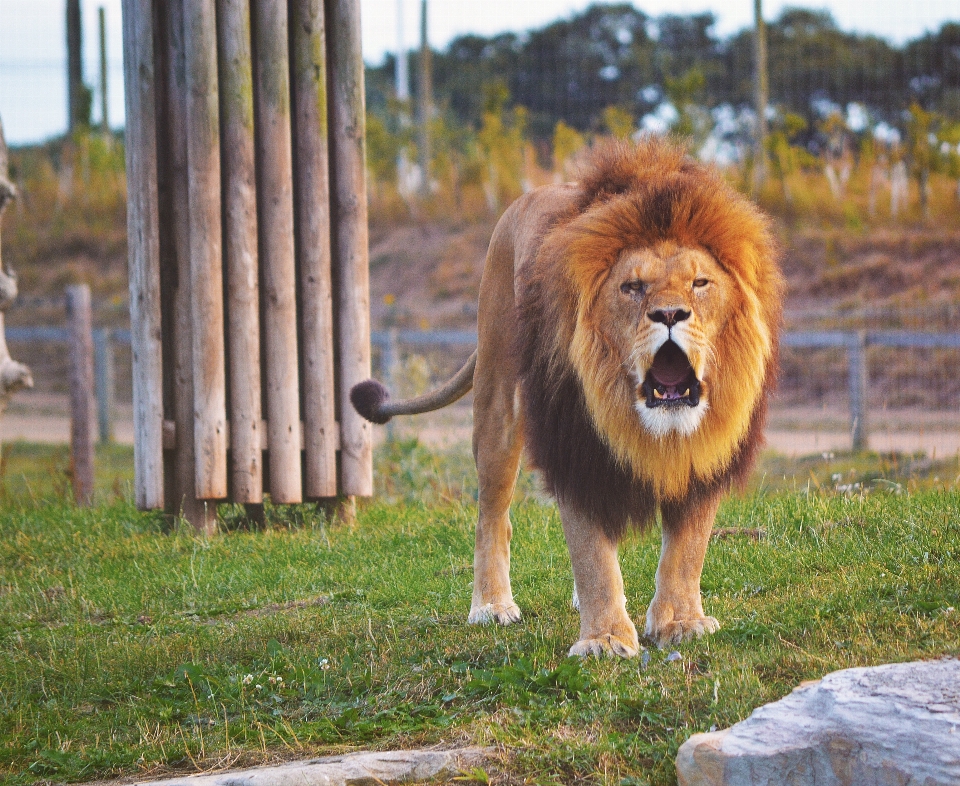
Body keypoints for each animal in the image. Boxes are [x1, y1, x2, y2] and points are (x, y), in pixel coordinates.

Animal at [352, 139, 780, 656]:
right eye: (632, 287)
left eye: (700, 283)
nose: (669, 314)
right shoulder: (573, 443)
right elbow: (591, 552)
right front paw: (604, 639)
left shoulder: (707, 452)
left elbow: (688, 547)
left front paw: (681, 622)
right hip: (498, 402)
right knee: (492, 516)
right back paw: (491, 605)